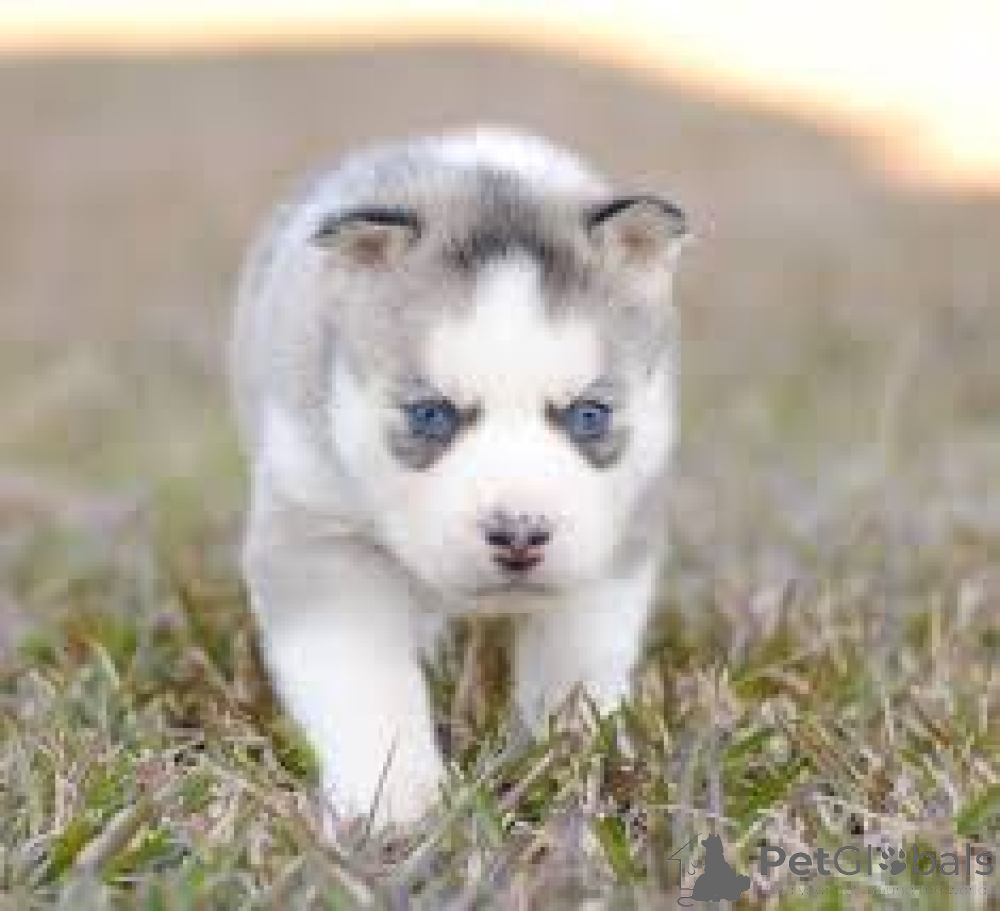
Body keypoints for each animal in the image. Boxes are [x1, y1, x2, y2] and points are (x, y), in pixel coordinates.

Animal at [230, 127, 689, 827]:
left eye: (589, 414)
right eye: (430, 414)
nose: (519, 535)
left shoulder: (614, 540)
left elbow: (578, 664)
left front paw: (575, 763)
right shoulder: (319, 535)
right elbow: (365, 681)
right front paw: (392, 802)